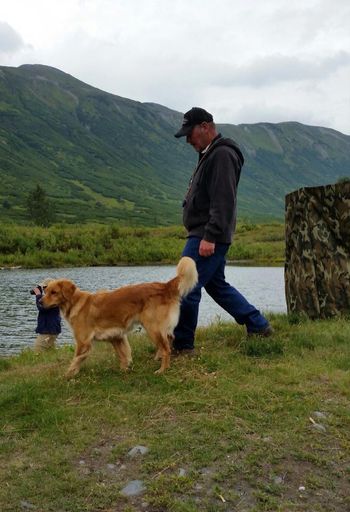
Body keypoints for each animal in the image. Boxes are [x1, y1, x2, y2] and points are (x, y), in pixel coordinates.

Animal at [40, 258, 197, 378]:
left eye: (54, 292)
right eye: (45, 291)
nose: (40, 302)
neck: (75, 302)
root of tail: (164, 286)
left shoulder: (83, 341)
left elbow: (76, 360)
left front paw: (68, 375)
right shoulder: (116, 336)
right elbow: (123, 355)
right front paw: (124, 369)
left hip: (152, 328)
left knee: (166, 349)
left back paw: (162, 369)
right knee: (169, 340)